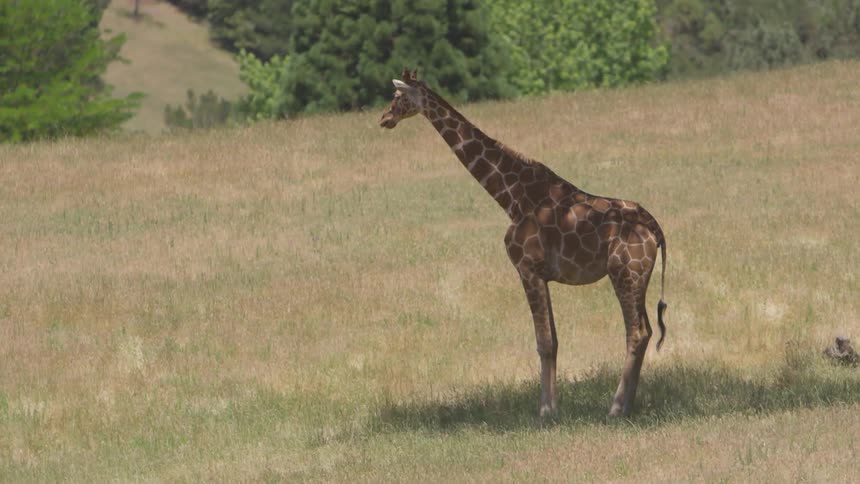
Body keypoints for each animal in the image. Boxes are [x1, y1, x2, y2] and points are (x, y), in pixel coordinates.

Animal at [379, 69, 668, 417]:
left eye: (397, 96)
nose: (384, 118)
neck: (510, 196)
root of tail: (655, 229)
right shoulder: (541, 274)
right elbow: (553, 339)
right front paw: (552, 407)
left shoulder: (527, 268)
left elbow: (544, 342)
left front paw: (544, 411)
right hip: (638, 277)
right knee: (646, 331)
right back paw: (627, 405)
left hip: (624, 273)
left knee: (636, 332)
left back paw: (615, 408)